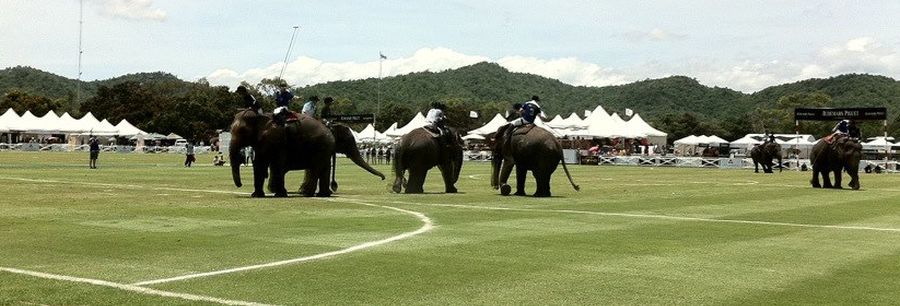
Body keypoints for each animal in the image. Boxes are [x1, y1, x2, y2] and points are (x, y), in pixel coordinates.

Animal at [229, 110, 384, 198]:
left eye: (241, 132)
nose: (383, 178)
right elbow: (261, 163)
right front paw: (258, 195)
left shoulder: (277, 140)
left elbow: (272, 164)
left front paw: (278, 194)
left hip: (321, 145)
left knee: (316, 167)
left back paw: (311, 194)